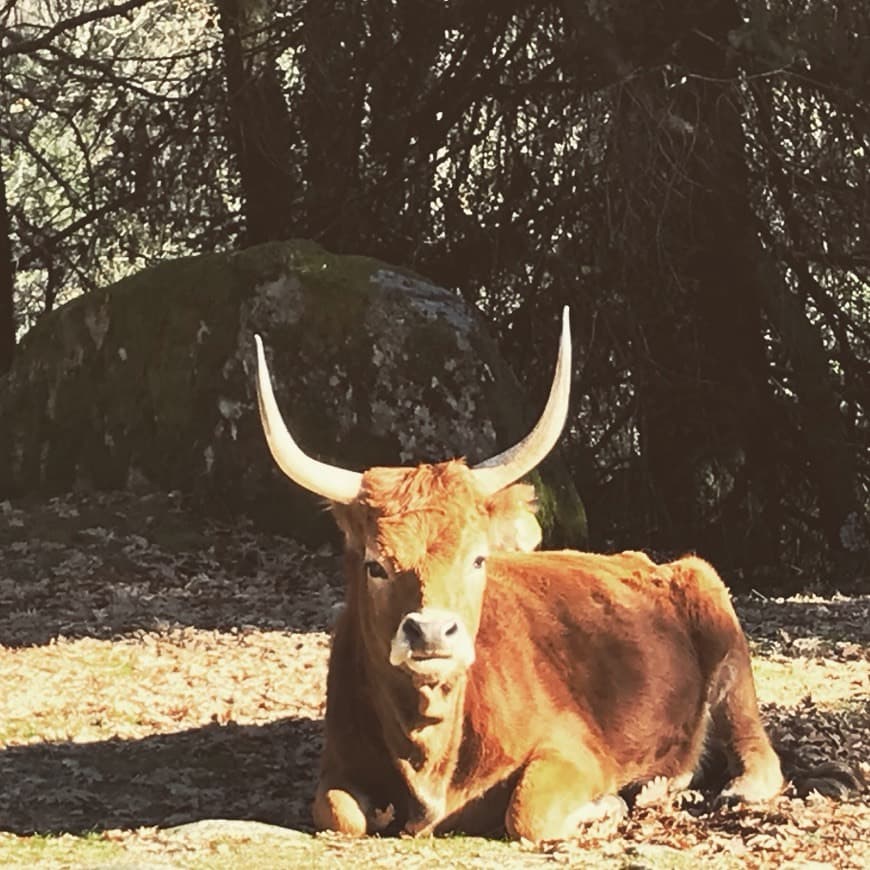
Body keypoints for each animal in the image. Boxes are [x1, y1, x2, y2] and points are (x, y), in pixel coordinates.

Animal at [252, 308, 784, 844]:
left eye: (478, 559)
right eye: (375, 565)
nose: (430, 632)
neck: (429, 752)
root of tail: (651, 560)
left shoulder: (573, 750)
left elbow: (527, 811)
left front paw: (607, 806)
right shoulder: (337, 766)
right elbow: (340, 812)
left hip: (722, 628)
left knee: (755, 748)